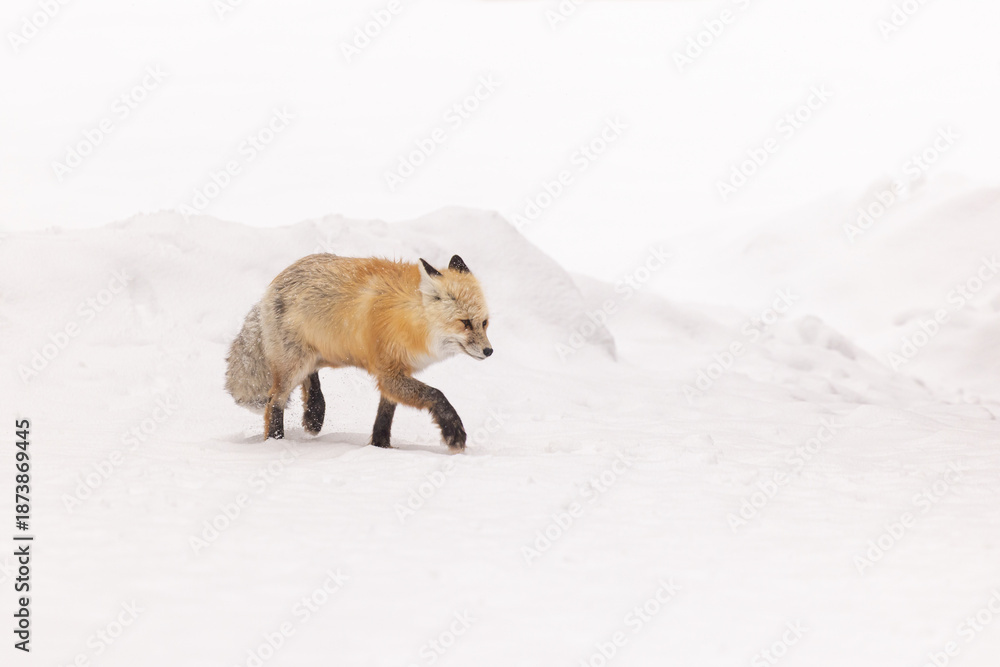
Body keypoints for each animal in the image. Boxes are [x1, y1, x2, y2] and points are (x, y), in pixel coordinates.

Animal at [224, 253, 492, 450]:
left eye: (484, 323)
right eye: (465, 323)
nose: (489, 351)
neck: (410, 319)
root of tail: (273, 284)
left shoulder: (394, 374)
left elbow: (384, 417)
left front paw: (380, 447)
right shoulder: (389, 373)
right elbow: (436, 395)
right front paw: (454, 432)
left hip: (325, 354)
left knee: (309, 378)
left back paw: (314, 414)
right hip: (295, 364)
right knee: (274, 401)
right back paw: (275, 441)